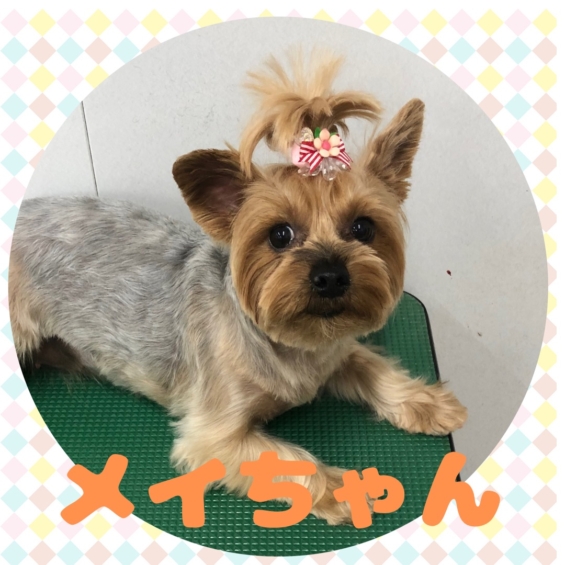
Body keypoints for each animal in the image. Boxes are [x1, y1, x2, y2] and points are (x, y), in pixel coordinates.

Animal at [9, 50, 467, 525]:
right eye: (280, 235)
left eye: (363, 227)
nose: (330, 275)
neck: (294, 346)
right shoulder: (213, 434)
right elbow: (289, 458)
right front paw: (343, 489)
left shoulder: (337, 349)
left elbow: (372, 366)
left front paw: (428, 402)